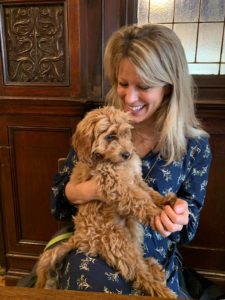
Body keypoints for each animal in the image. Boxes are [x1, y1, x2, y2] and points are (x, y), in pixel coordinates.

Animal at [36, 106, 178, 298]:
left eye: (126, 134)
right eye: (110, 136)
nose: (127, 154)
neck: (110, 161)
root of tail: (79, 237)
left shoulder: (135, 179)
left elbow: (149, 193)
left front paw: (165, 201)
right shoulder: (116, 186)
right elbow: (141, 200)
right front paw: (156, 214)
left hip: (131, 229)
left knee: (138, 258)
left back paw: (152, 267)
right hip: (117, 242)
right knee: (138, 273)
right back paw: (162, 290)